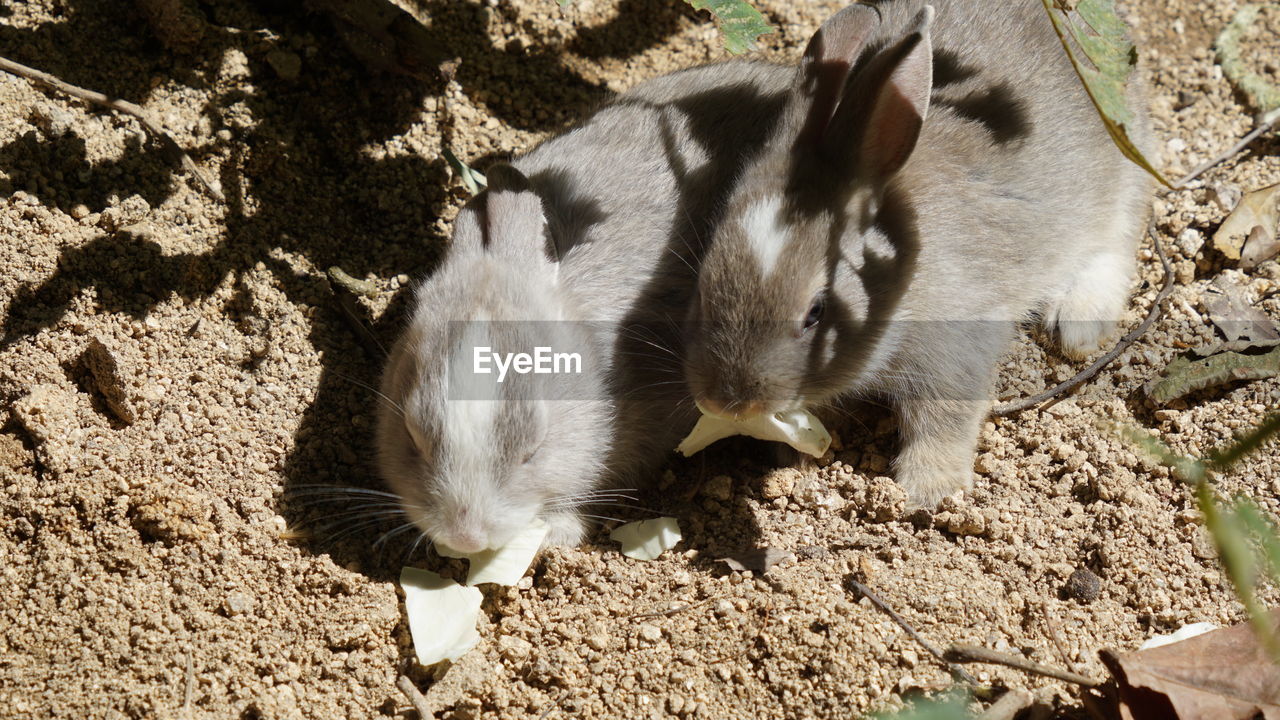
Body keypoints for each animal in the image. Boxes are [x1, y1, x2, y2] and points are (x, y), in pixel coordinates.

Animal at [686, 0, 1157, 504]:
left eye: (816, 313)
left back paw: (1078, 326)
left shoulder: (954, 347)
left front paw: (929, 490)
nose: (727, 404)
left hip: (1122, 177)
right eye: (703, 288)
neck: (899, 280)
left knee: (1116, 243)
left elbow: (943, 419)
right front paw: (791, 454)